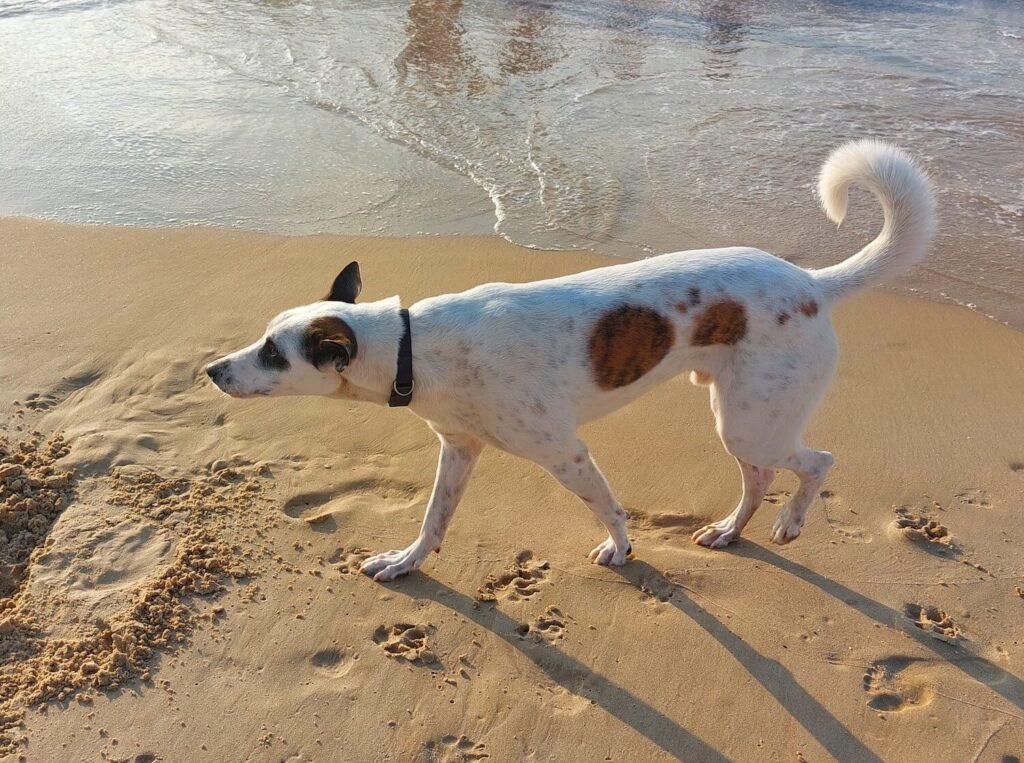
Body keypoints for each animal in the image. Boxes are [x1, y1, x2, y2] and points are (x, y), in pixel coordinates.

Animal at [205, 140, 937, 581]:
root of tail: (813, 283)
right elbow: (433, 519)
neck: (416, 344)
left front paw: (621, 548)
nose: (211, 371)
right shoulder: (459, 448)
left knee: (817, 463)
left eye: (272, 353)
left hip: (754, 420)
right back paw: (731, 531)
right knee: (758, 478)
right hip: (739, 417)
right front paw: (408, 561)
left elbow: (609, 506)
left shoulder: (566, 454)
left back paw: (789, 523)